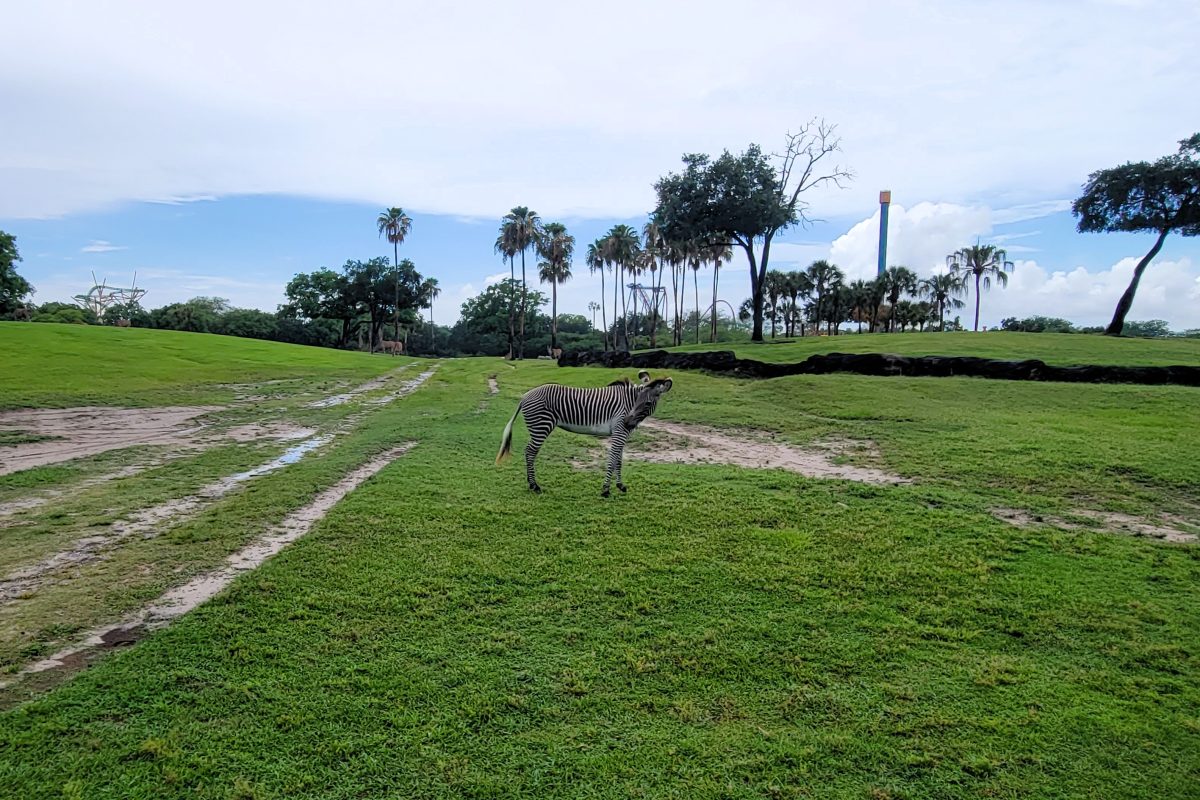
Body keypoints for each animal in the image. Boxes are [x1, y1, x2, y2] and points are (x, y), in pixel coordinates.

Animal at [495, 371, 673, 496]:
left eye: (647, 403)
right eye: (637, 400)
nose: (627, 422)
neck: (628, 403)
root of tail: (525, 396)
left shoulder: (622, 433)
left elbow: (619, 460)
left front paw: (620, 485)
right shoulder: (619, 431)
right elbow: (612, 459)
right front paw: (605, 489)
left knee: (529, 452)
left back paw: (531, 483)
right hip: (542, 426)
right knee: (530, 452)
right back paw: (535, 485)